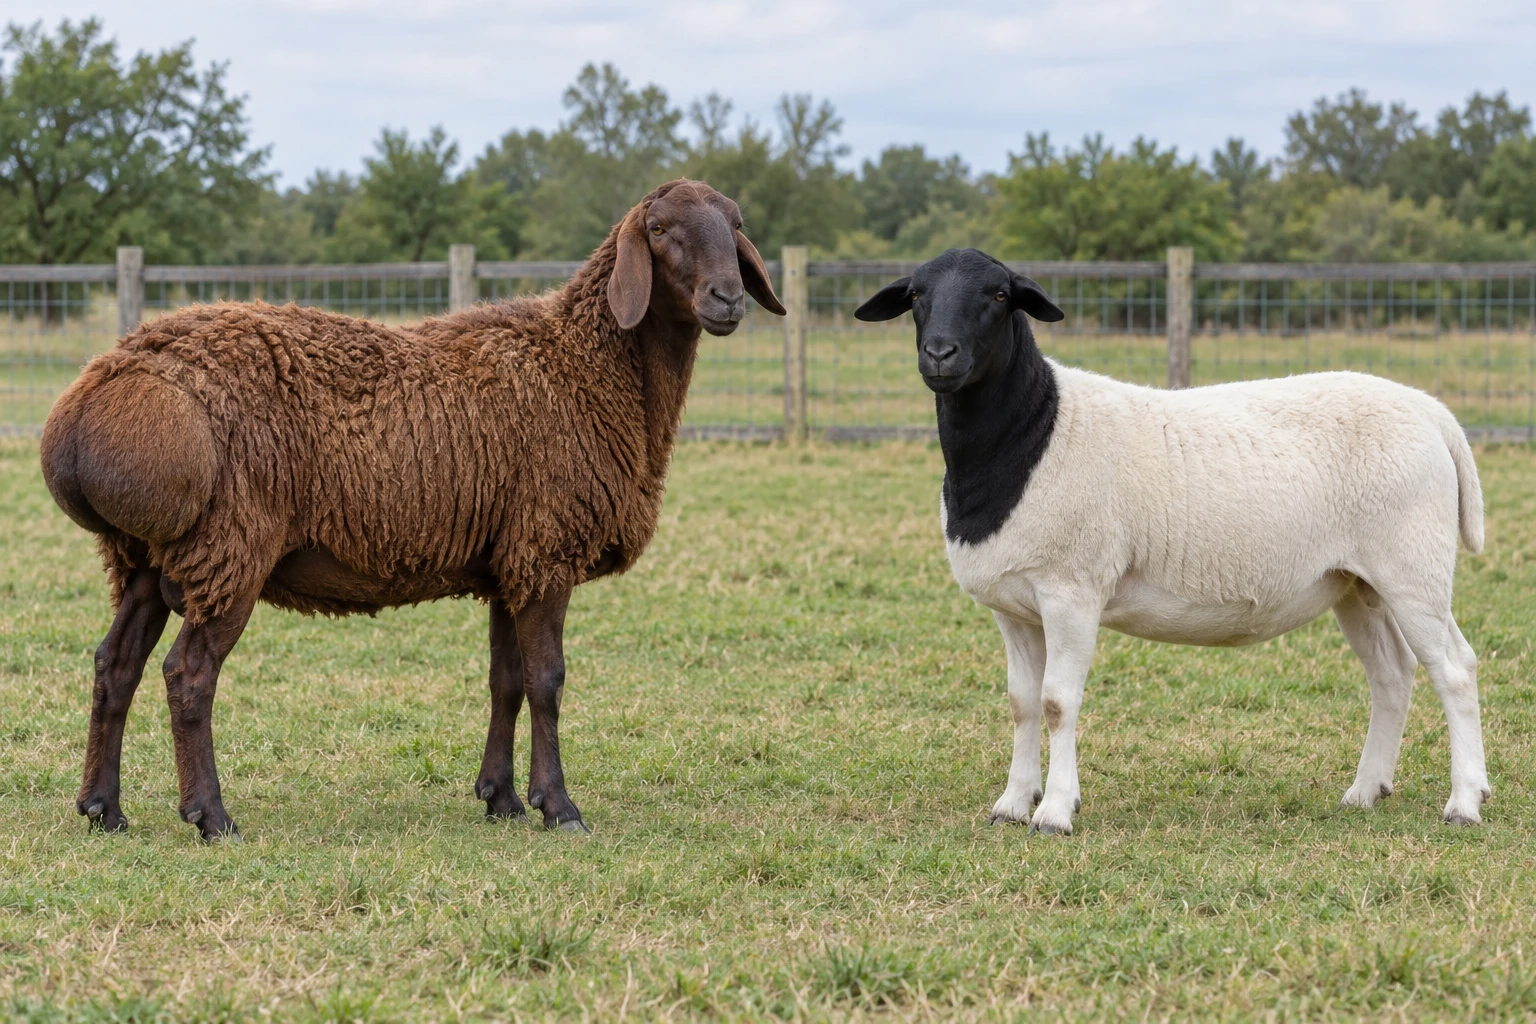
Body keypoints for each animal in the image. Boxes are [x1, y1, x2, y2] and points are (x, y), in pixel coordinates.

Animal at [40, 179, 785, 840]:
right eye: (658, 229)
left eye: (737, 222)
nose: (727, 298)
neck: (586, 367)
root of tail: (89, 402)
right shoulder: (544, 552)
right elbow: (548, 681)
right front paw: (560, 808)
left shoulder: (509, 562)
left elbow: (506, 681)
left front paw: (502, 800)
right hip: (230, 548)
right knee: (188, 675)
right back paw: (212, 818)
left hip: (146, 555)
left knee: (115, 665)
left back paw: (103, 810)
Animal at [855, 248, 1489, 835]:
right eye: (915, 295)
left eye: (1000, 295)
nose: (940, 355)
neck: (1030, 435)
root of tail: (1434, 414)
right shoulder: (1013, 606)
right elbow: (1022, 703)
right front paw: (1012, 804)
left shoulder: (1072, 591)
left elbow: (1058, 702)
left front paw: (1055, 812)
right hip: (1356, 583)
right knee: (1393, 674)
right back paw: (1368, 790)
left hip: (1412, 565)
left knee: (1454, 670)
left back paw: (1463, 803)